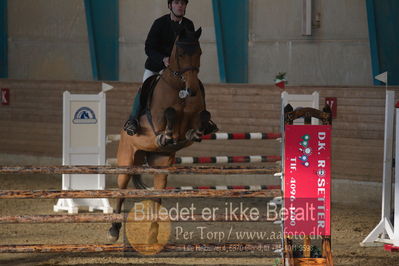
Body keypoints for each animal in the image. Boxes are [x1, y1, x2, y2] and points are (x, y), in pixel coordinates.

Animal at [108, 28, 211, 244]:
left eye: (200, 52)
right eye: (180, 54)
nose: (191, 90)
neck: (178, 88)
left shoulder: (195, 118)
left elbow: (203, 116)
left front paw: (194, 132)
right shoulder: (158, 121)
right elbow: (169, 114)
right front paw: (166, 136)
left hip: (161, 165)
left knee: (157, 196)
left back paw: (152, 234)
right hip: (126, 160)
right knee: (121, 189)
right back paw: (113, 230)